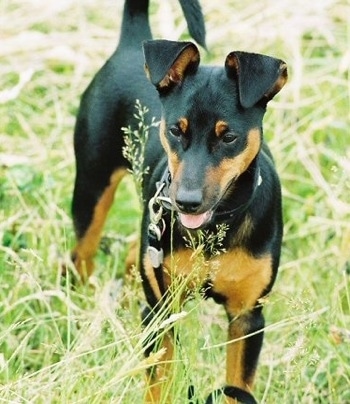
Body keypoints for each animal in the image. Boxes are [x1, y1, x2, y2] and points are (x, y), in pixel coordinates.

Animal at [70, 0, 288, 404]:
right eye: (175, 130)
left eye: (229, 137)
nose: (185, 202)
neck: (216, 226)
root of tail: (132, 41)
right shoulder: (162, 314)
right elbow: (159, 382)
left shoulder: (247, 317)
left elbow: (237, 386)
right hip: (92, 186)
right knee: (81, 255)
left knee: (130, 255)